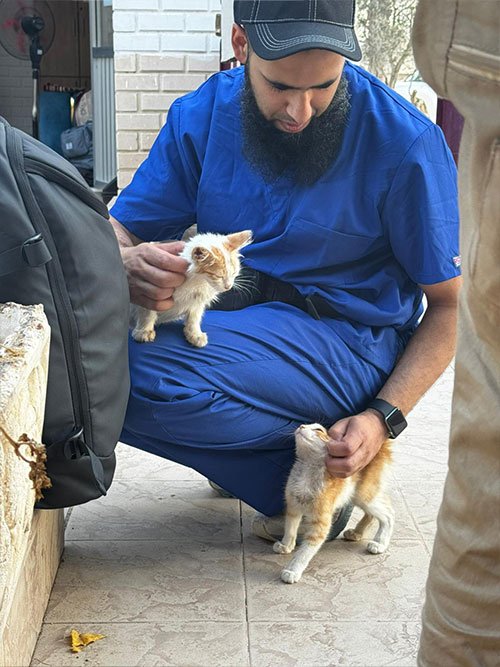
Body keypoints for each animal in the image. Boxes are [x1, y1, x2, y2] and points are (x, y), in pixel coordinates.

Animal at [273, 423, 394, 584]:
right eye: (306, 425)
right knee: (372, 514)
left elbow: (306, 550)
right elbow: (290, 528)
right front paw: (286, 545)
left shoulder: (321, 523)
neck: (307, 471)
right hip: (358, 496)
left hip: (365, 495)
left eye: (318, 430)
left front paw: (293, 570)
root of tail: (382, 445)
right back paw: (356, 533)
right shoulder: (293, 506)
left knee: (389, 514)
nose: (301, 426)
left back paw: (380, 543)